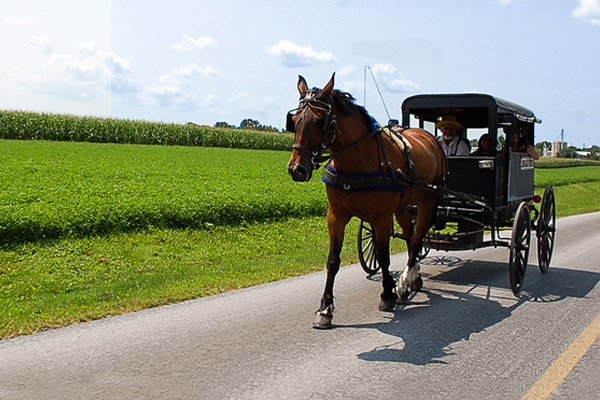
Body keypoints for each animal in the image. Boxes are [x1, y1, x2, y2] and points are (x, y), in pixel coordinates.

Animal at [288, 74, 448, 328]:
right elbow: (333, 261)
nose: (297, 169)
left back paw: (405, 282)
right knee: (410, 234)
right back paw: (412, 278)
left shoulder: (381, 217)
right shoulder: (336, 215)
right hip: (403, 206)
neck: (357, 161)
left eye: (320, 121)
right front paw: (325, 309)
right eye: (293, 121)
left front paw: (387, 294)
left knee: (417, 238)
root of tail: (430, 138)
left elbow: (383, 257)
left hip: (428, 200)